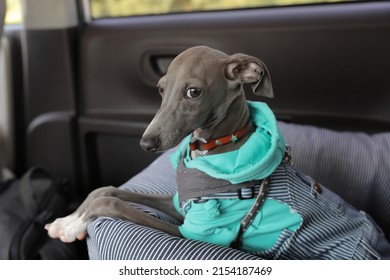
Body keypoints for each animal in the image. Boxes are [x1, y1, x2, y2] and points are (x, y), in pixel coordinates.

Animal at [42, 46, 268, 243]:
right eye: (161, 89)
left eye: (194, 92)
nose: (146, 143)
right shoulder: (177, 202)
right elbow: (103, 191)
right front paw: (67, 221)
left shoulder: (197, 233)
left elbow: (111, 203)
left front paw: (72, 227)